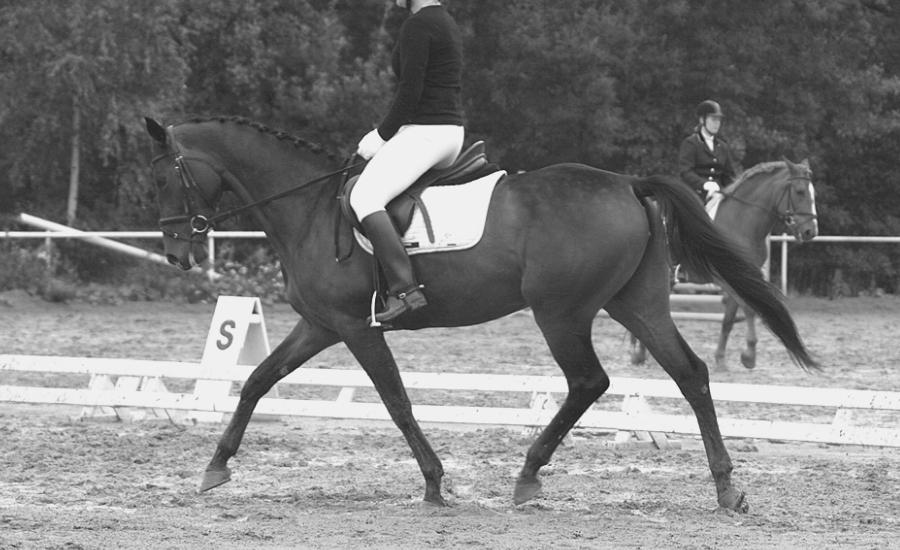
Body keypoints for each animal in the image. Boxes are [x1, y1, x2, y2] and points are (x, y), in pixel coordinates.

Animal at [628, 159, 818, 370]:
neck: (742, 224)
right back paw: (637, 353)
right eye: (800, 191)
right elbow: (743, 312)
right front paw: (745, 356)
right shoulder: (728, 280)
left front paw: (729, 357)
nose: (811, 231)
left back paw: (640, 352)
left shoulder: (746, 278)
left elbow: (733, 318)